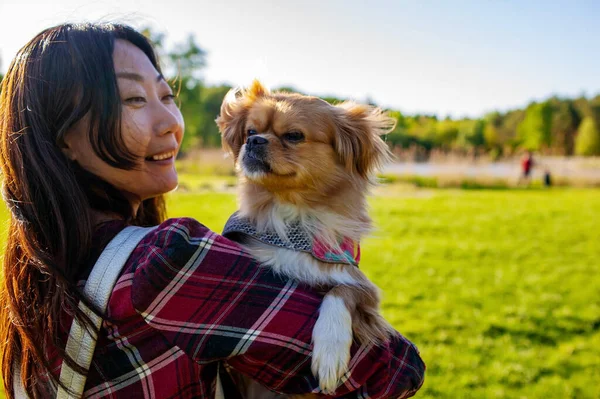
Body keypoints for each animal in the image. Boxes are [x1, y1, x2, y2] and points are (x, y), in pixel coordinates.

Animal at [218, 81, 396, 396]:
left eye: (294, 136)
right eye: (250, 131)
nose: (255, 141)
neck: (291, 220)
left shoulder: (359, 284)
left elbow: (341, 291)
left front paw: (330, 352)